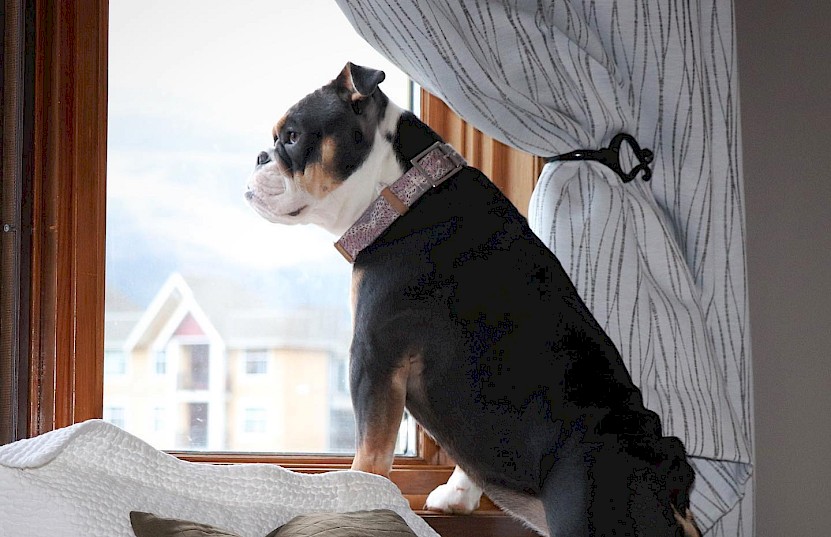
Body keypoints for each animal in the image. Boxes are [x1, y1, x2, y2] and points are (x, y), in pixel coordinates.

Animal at [247, 62, 704, 536]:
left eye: (292, 137)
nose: (259, 156)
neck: (401, 188)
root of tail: (667, 471)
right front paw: (456, 497)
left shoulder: (374, 357)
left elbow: (371, 450)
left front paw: (359, 497)